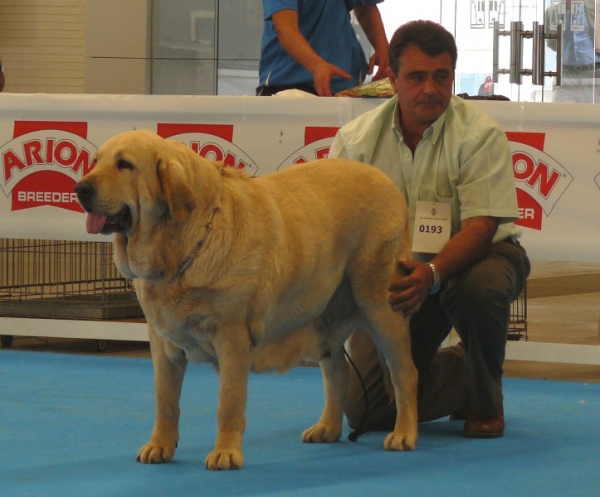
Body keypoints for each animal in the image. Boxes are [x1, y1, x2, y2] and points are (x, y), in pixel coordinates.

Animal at [76, 129, 418, 468]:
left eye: (125, 165)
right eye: (95, 162)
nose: (80, 188)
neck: (182, 246)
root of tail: (386, 181)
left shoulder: (232, 338)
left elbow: (228, 403)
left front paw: (226, 453)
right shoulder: (163, 344)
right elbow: (166, 401)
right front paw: (159, 445)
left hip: (379, 306)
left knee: (404, 373)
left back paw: (403, 434)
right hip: (323, 316)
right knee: (338, 374)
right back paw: (327, 428)